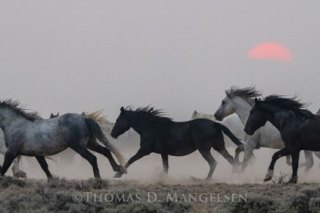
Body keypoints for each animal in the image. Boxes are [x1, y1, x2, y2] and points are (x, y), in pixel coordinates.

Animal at [109, 106, 241, 180]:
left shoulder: (145, 150)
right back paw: (234, 176)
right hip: (219, 147)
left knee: (213, 163)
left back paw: (205, 179)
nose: (112, 134)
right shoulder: (163, 153)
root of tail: (215, 124)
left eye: (118, 119)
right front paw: (163, 179)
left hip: (204, 149)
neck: (150, 127)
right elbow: (166, 167)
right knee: (230, 159)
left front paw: (118, 174)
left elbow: (131, 159)